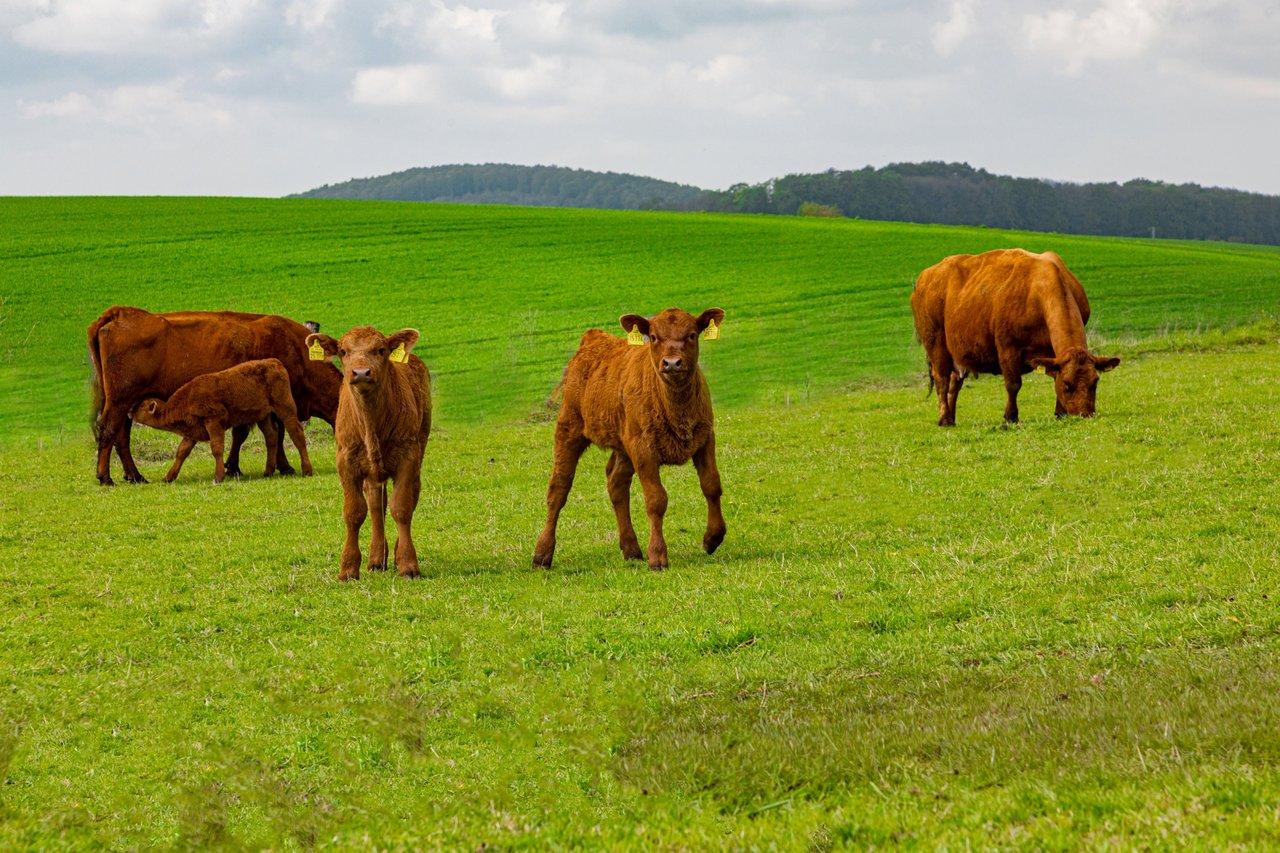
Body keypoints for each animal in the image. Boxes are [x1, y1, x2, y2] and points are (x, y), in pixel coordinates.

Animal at [131, 359, 312, 484]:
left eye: (140, 407)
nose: (129, 412)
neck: (187, 399)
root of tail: (275, 363)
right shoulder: (192, 431)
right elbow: (182, 452)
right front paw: (168, 477)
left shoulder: (213, 422)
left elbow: (217, 448)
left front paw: (218, 477)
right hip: (263, 417)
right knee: (271, 437)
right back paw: (268, 471)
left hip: (286, 409)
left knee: (296, 434)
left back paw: (307, 470)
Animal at [305, 326, 431, 581]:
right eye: (343, 351)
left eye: (381, 350)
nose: (361, 372)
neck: (371, 424)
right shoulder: (345, 461)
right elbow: (354, 512)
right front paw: (348, 568)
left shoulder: (408, 457)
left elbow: (402, 507)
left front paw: (408, 564)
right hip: (372, 472)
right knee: (375, 505)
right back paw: (376, 559)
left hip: (418, 451)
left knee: (409, 496)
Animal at [532, 307, 726, 571]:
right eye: (653, 337)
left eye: (692, 335)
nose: (672, 363)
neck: (676, 409)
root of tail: (594, 337)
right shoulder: (643, 448)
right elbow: (656, 499)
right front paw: (658, 555)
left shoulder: (705, 437)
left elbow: (711, 485)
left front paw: (713, 538)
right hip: (569, 427)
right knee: (558, 489)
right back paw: (542, 554)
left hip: (623, 443)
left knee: (616, 483)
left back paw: (631, 548)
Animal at [911, 249, 1120, 426]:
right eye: (1068, 384)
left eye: (1095, 382)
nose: (1085, 414)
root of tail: (926, 275)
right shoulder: (1007, 347)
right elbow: (1013, 384)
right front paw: (1010, 417)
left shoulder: (1052, 354)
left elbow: (1054, 376)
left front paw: (1059, 412)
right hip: (935, 342)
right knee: (942, 380)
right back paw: (944, 418)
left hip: (957, 352)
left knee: (955, 381)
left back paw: (952, 418)